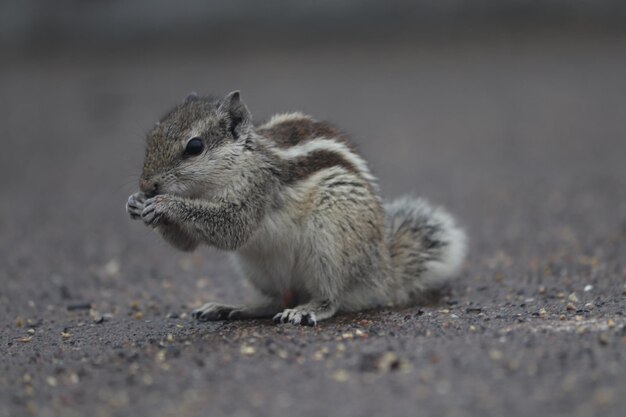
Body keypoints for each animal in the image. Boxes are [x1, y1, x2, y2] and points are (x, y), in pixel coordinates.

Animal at [124, 91, 466, 324]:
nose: (147, 185)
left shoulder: (257, 190)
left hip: (330, 241)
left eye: (194, 147)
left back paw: (307, 310)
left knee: (331, 298)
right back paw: (233, 307)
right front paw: (136, 204)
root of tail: (382, 272)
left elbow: (233, 228)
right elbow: (187, 245)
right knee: (277, 300)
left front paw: (167, 205)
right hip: (260, 268)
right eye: (152, 136)